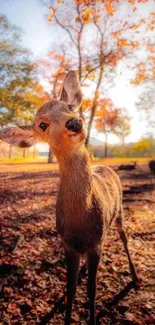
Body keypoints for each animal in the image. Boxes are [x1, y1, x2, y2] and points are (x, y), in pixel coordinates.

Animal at [0, 71, 139, 324]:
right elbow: (71, 289)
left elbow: (92, 290)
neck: (81, 223)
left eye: (69, 106)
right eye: (42, 125)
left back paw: (135, 278)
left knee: (124, 239)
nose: (75, 122)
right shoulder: (68, 244)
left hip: (120, 212)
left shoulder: (96, 243)